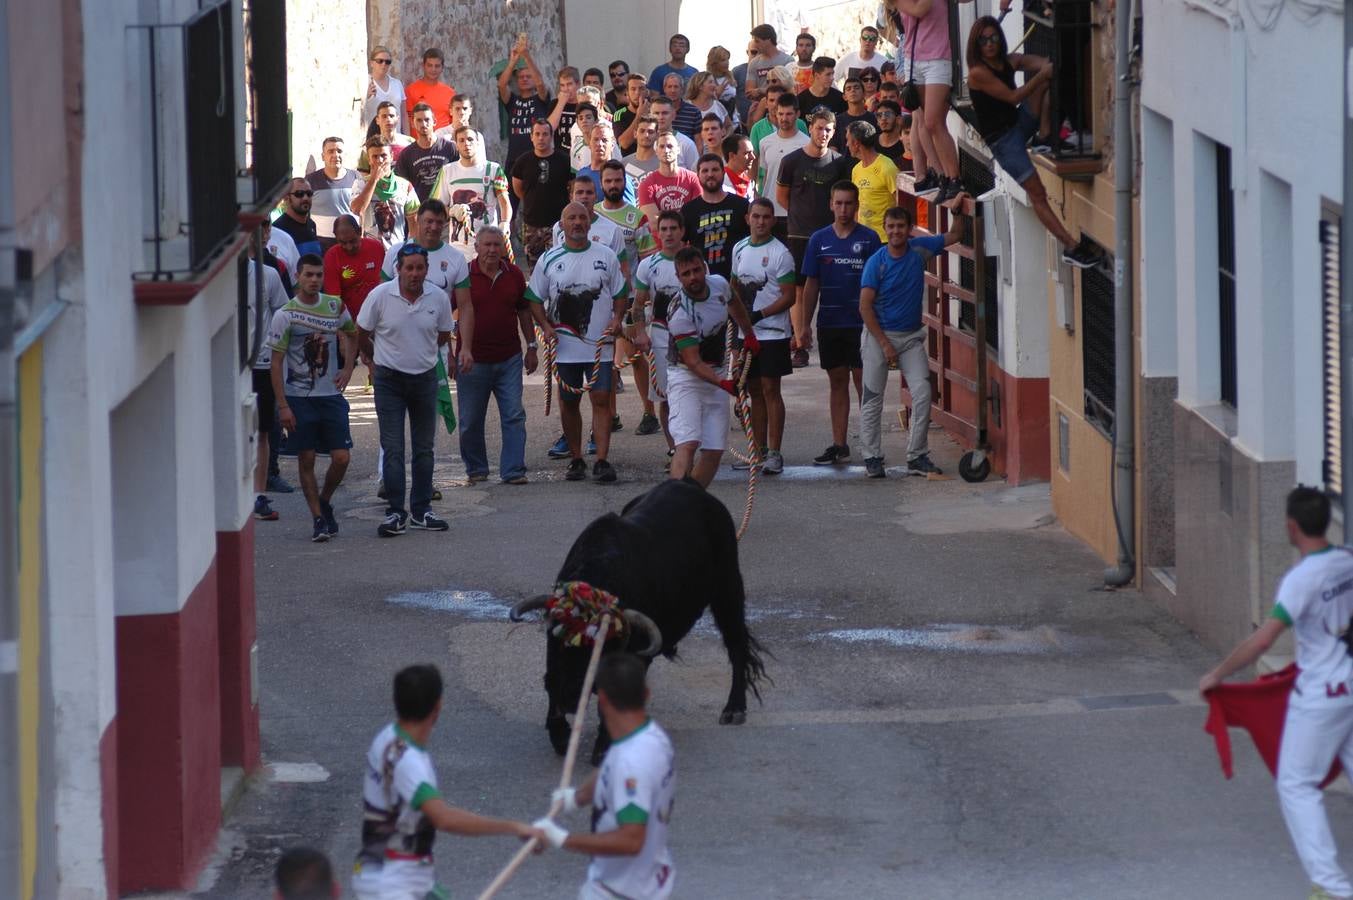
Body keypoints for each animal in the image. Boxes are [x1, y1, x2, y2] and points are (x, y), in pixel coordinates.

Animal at [508, 481, 768, 752]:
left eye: (598, 648)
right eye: (555, 641)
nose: (569, 697)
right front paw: (560, 735)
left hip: (728, 590)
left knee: (737, 646)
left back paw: (734, 708)